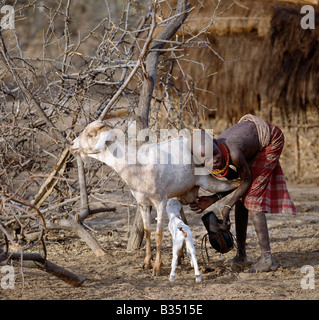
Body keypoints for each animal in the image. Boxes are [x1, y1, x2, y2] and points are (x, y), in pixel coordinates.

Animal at [70, 119, 240, 276]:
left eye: (91, 134)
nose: (72, 145)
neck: (137, 166)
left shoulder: (160, 201)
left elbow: (159, 234)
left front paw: (157, 268)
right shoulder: (143, 203)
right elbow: (146, 232)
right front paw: (146, 263)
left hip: (208, 180)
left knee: (234, 184)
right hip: (183, 193)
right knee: (184, 222)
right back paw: (181, 257)